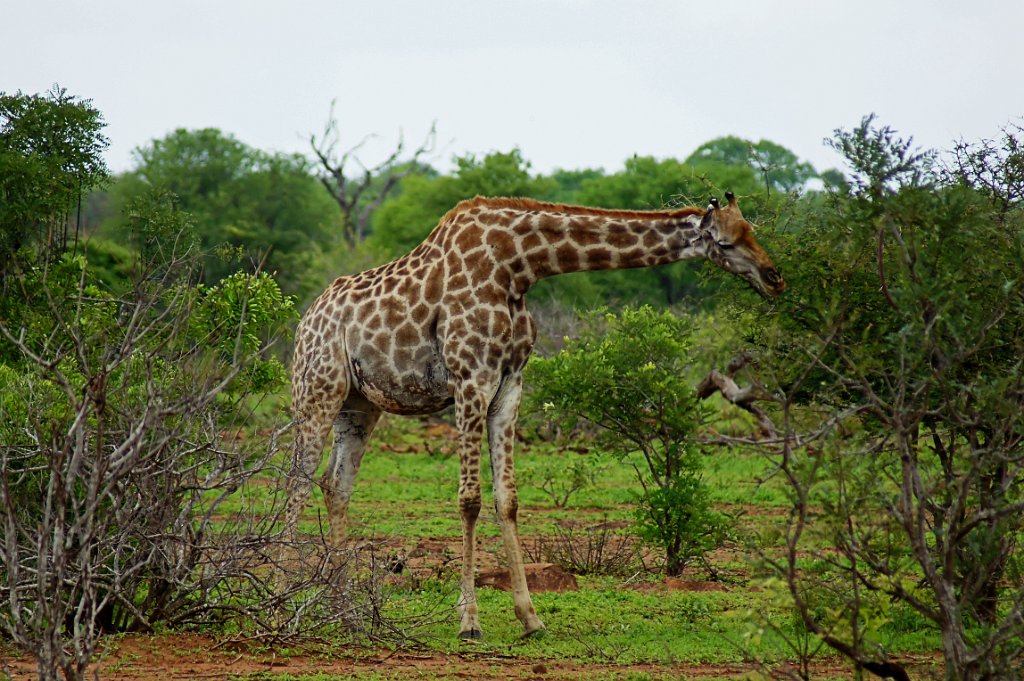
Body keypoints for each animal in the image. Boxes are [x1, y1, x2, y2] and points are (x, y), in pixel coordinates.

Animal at [283, 192, 784, 639]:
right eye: (726, 242)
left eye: (752, 230)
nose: (775, 277)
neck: (517, 265)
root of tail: (306, 318)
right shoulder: (470, 377)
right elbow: (469, 499)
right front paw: (469, 620)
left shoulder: (510, 384)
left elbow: (507, 499)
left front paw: (530, 618)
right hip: (316, 389)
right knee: (297, 480)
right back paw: (286, 598)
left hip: (359, 403)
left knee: (335, 485)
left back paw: (342, 604)